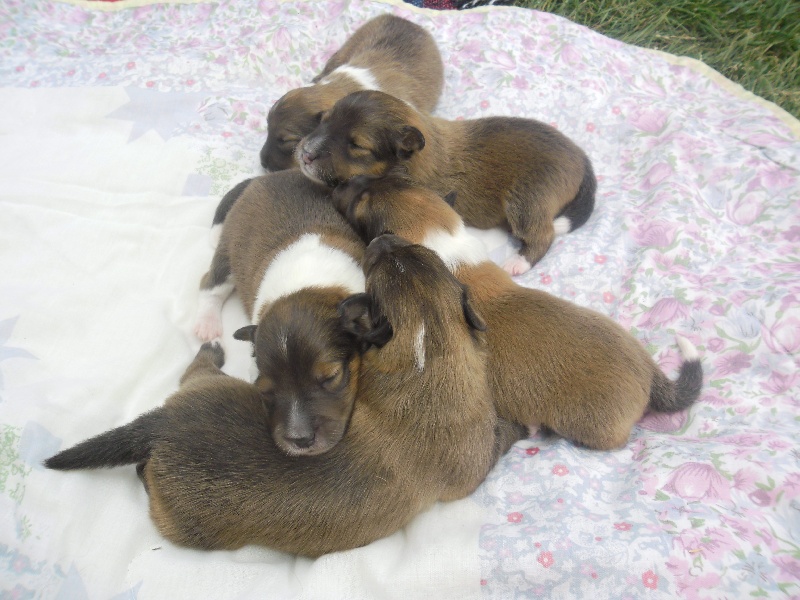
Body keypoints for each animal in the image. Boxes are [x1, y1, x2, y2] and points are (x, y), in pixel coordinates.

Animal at [43, 237, 524, 556]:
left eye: (422, 255)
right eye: (376, 267)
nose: (382, 238)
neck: (426, 350)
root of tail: (158, 426)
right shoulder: (474, 464)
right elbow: (500, 436)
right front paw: (518, 425)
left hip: (213, 388)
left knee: (195, 372)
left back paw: (211, 349)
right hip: (182, 525)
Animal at [194, 171, 366, 458]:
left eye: (331, 377)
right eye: (265, 390)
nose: (301, 440)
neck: (308, 284)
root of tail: (263, 177)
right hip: (228, 251)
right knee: (210, 285)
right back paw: (206, 325)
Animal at [294, 89, 592, 276]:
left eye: (357, 145)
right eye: (324, 119)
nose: (305, 153)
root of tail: (581, 156)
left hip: (528, 198)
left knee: (543, 234)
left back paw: (518, 263)